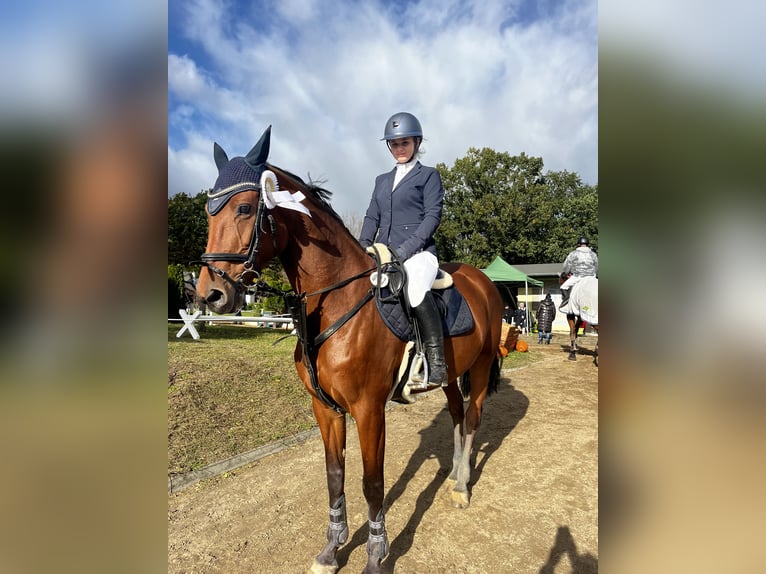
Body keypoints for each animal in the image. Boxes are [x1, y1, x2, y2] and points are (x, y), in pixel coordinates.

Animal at [195, 127, 504, 574]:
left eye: (245, 208)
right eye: (208, 212)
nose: (210, 295)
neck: (334, 301)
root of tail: (483, 281)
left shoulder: (369, 409)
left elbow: (372, 483)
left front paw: (376, 554)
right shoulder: (325, 408)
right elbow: (334, 475)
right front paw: (332, 549)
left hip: (479, 368)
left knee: (474, 418)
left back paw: (462, 487)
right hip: (449, 374)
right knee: (458, 417)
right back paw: (451, 478)